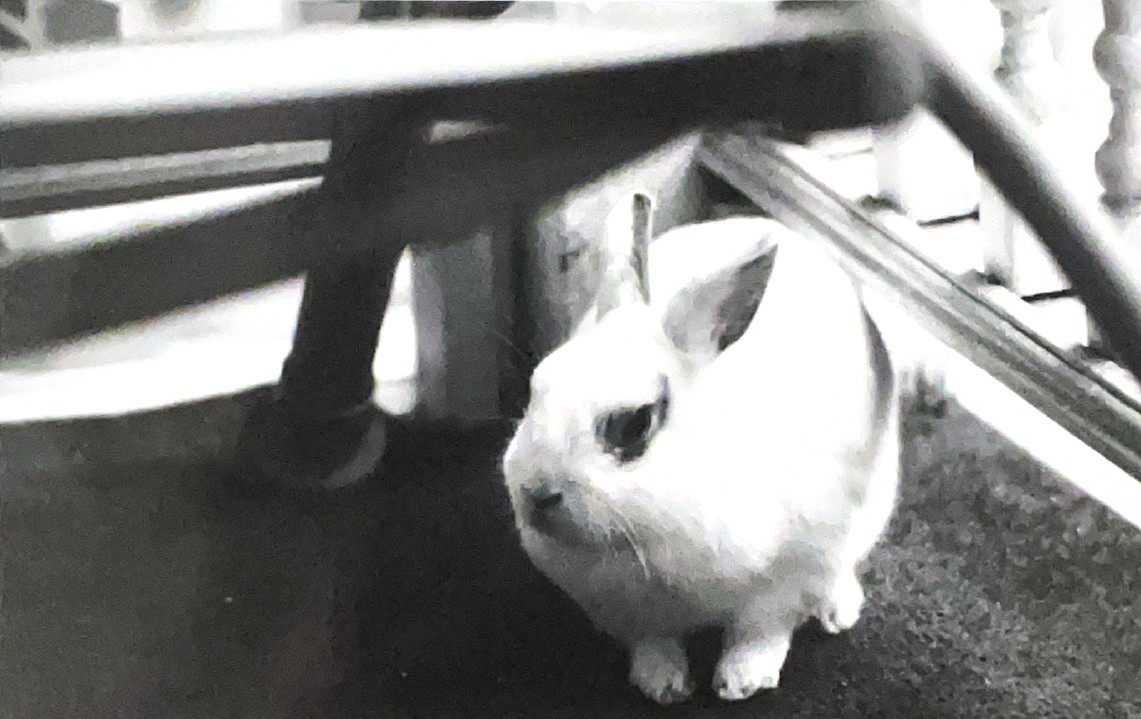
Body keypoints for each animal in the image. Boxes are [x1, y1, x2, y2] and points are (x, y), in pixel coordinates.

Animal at [499, 194, 899, 707]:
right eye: (536, 387)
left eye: (635, 424)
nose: (535, 492)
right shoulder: (626, 612)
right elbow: (653, 641)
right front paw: (663, 684)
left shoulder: (788, 580)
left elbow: (762, 632)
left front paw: (742, 681)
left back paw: (838, 611)